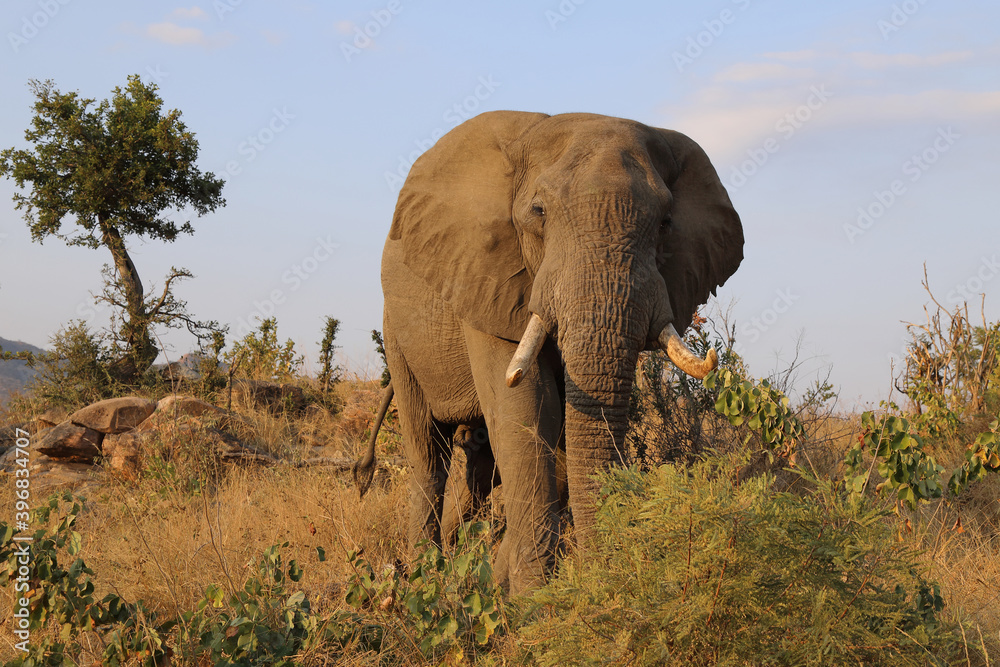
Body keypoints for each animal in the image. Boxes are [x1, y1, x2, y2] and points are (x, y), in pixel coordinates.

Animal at [355, 110, 744, 594]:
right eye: (538, 213)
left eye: (667, 223)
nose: (601, 579)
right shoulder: (488, 278)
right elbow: (528, 406)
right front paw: (531, 595)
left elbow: (558, 426)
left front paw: (511, 581)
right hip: (397, 333)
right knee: (429, 451)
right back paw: (426, 573)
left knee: (479, 461)